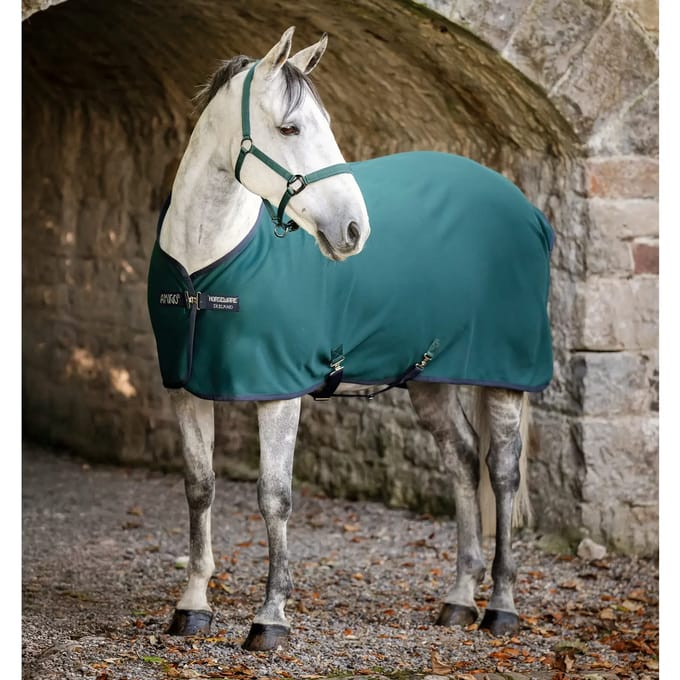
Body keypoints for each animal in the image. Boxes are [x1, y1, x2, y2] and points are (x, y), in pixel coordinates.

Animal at [147, 27, 554, 651]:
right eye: (291, 128)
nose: (354, 231)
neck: (205, 265)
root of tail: (526, 210)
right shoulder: (186, 389)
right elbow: (199, 488)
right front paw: (192, 606)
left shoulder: (279, 393)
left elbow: (274, 497)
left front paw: (271, 617)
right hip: (430, 378)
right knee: (462, 460)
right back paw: (459, 598)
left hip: (505, 378)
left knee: (502, 472)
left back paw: (501, 607)